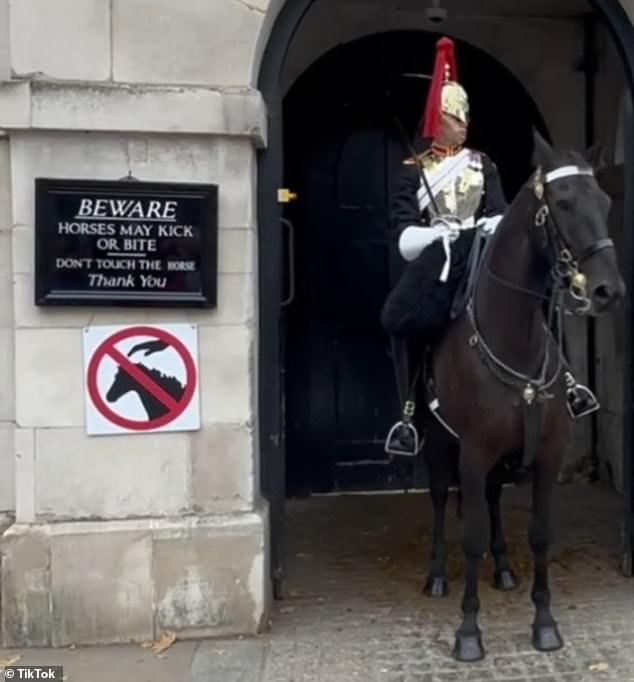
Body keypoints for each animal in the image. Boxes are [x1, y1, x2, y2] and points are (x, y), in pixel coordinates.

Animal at [412, 130, 624, 660]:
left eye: (606, 201)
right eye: (564, 202)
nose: (609, 290)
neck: (515, 342)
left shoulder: (545, 455)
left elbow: (540, 534)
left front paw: (545, 622)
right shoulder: (471, 453)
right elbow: (469, 537)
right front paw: (468, 631)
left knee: (490, 499)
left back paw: (505, 568)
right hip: (440, 443)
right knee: (441, 499)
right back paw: (437, 576)